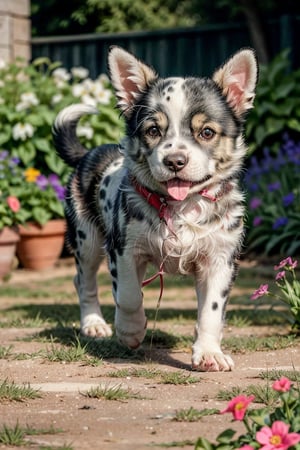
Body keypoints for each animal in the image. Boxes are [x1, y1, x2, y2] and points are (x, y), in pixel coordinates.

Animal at [53, 45, 258, 370]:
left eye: (207, 132)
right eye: (152, 130)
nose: (175, 161)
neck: (181, 207)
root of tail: (89, 152)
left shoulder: (221, 257)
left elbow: (211, 311)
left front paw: (209, 353)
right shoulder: (123, 248)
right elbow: (128, 295)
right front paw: (131, 331)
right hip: (87, 238)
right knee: (83, 280)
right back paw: (94, 324)